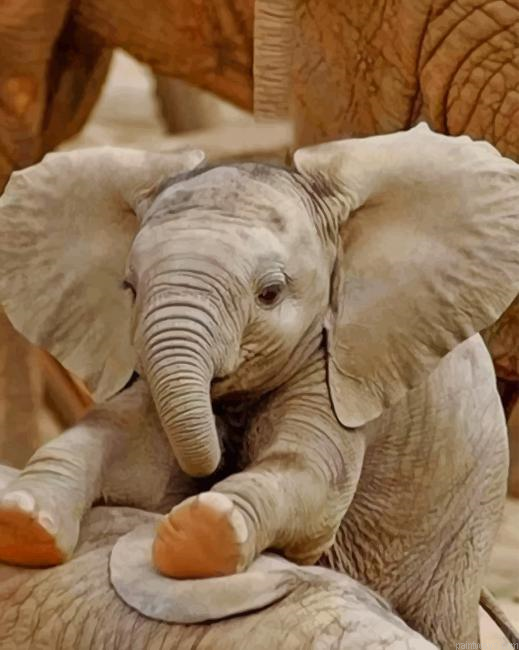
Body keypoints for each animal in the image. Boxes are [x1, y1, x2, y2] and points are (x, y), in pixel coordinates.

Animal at [1, 125, 519, 649]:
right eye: (129, 288)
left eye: (269, 294)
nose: (217, 457)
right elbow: (127, 448)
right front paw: (23, 521)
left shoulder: (339, 364)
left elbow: (311, 478)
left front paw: (202, 528)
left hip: (464, 519)